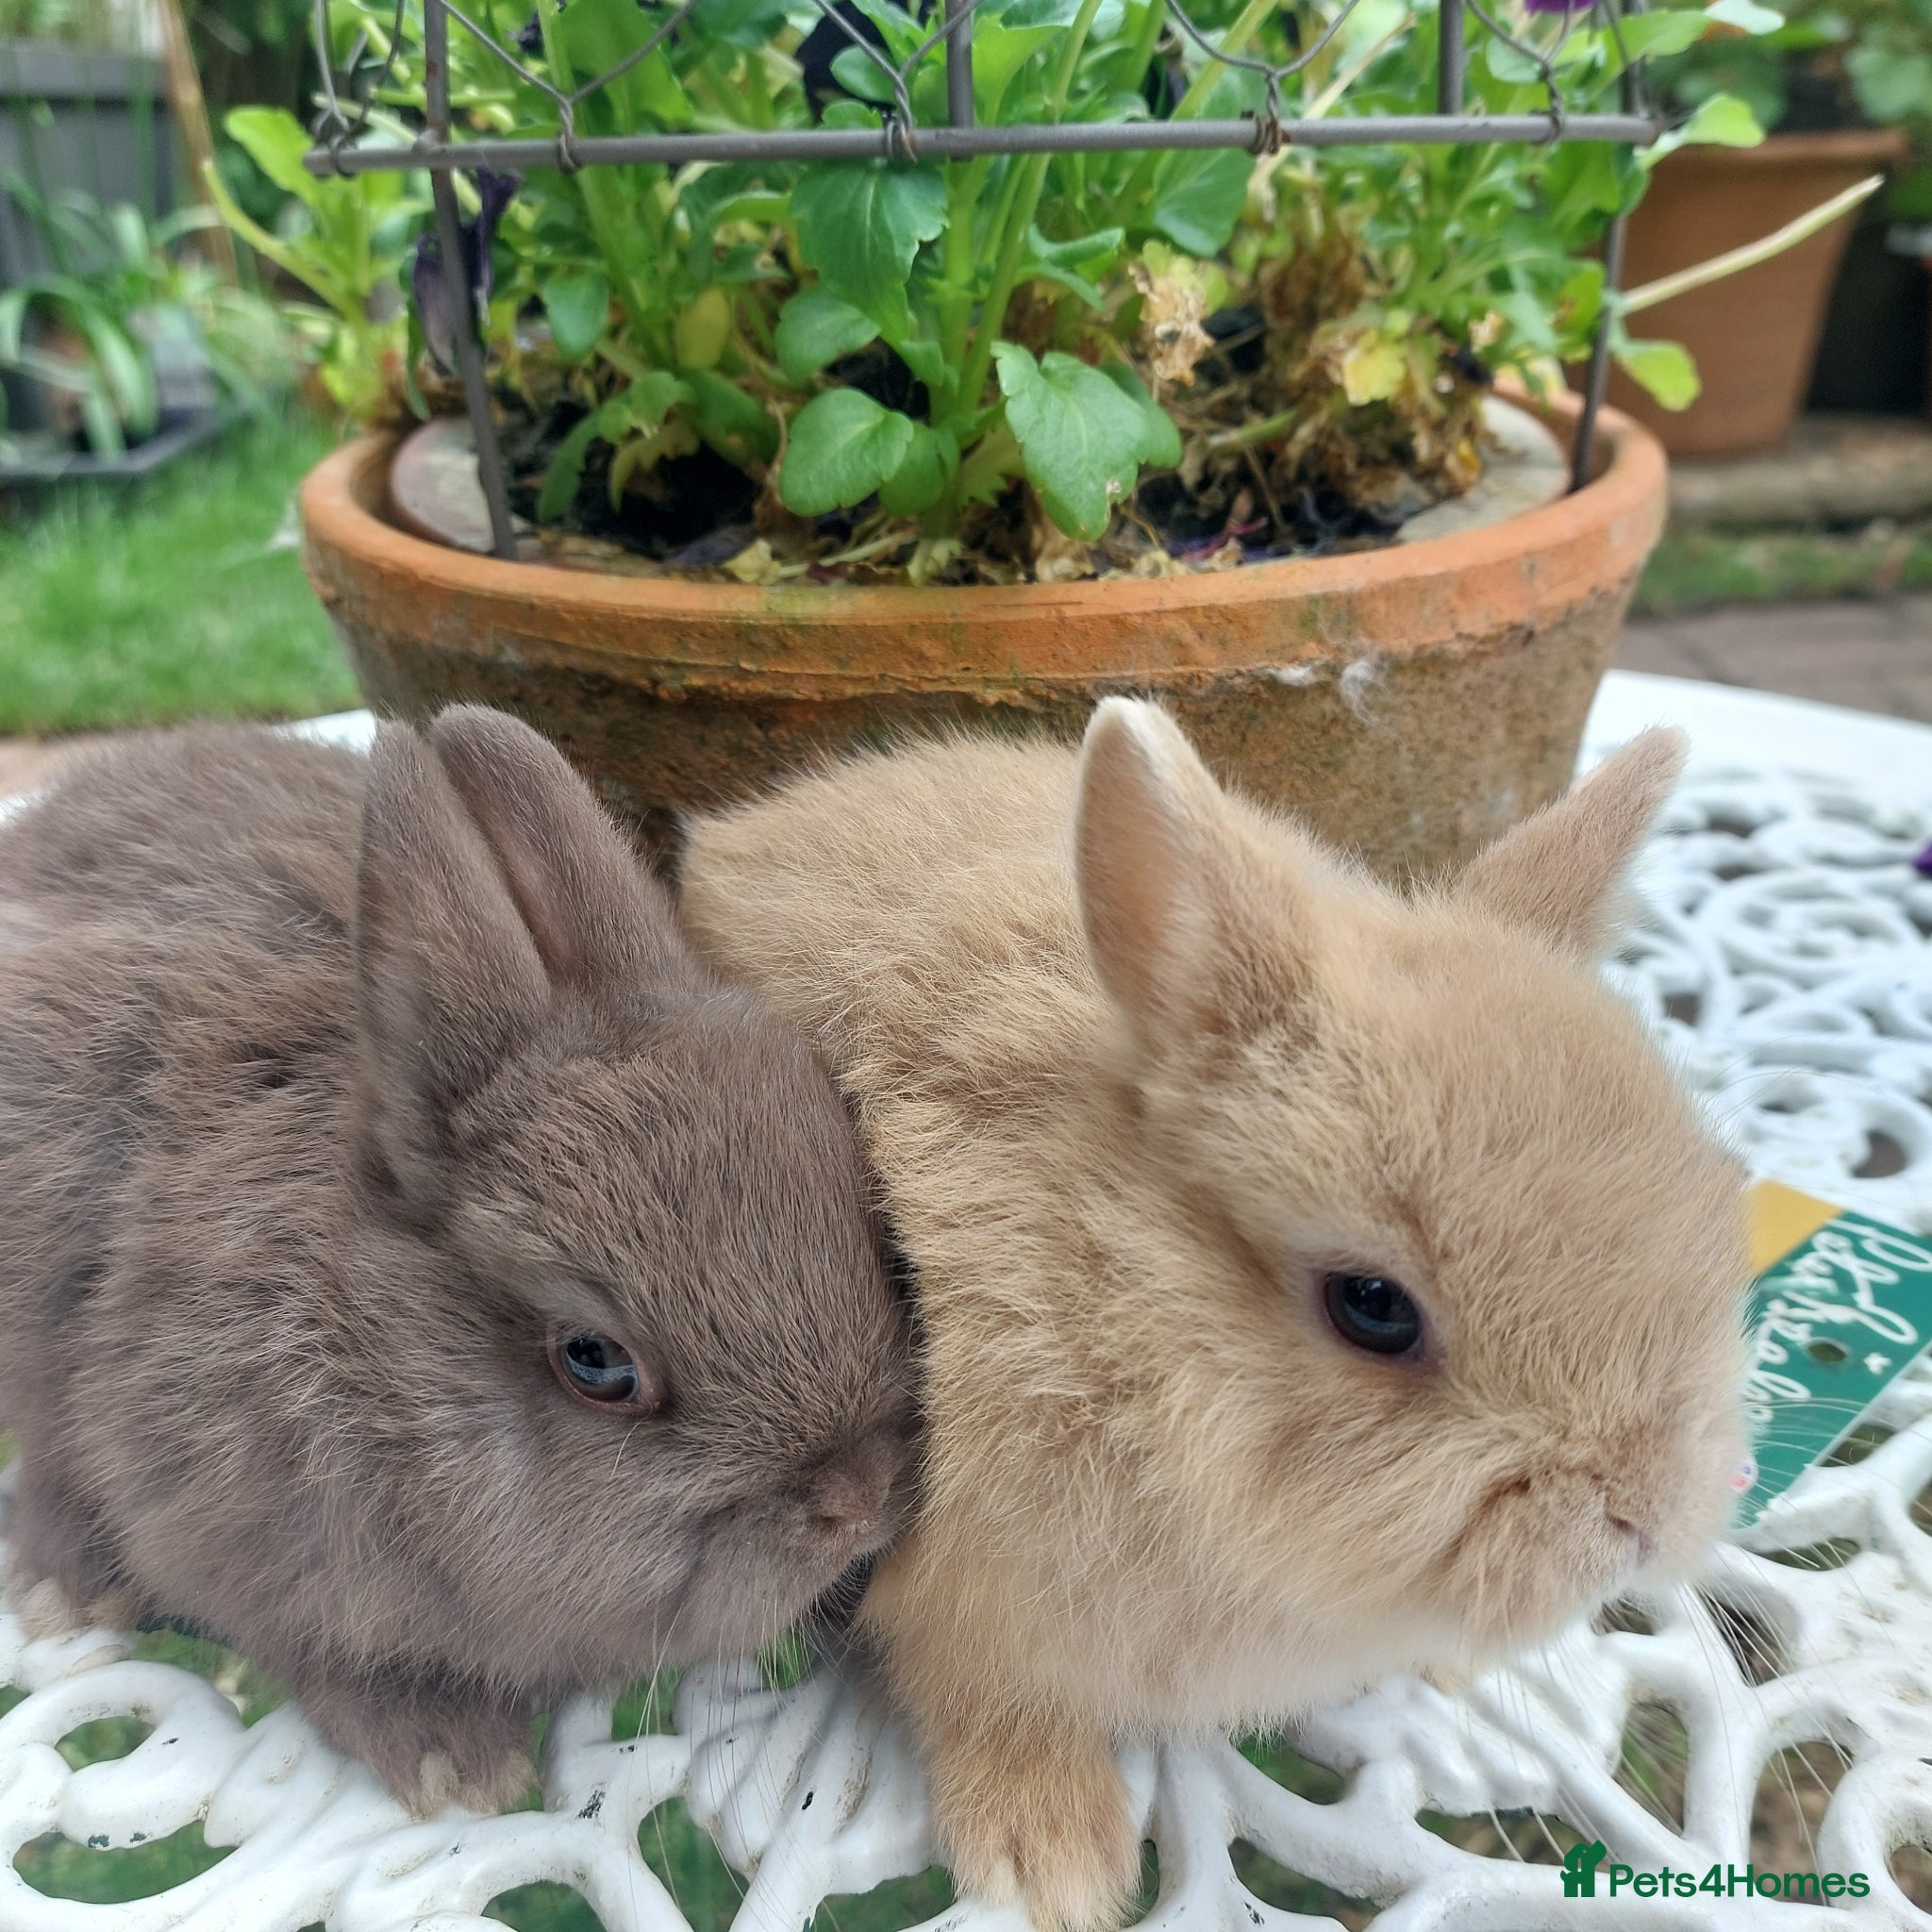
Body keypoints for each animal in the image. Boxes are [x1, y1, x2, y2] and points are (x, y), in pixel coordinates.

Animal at [676, 698, 1752, 1932]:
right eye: (1371, 1306)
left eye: (1717, 1203)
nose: (1644, 1518)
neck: (1118, 1299)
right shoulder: (969, 1600)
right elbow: (993, 1701)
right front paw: (1053, 1860)